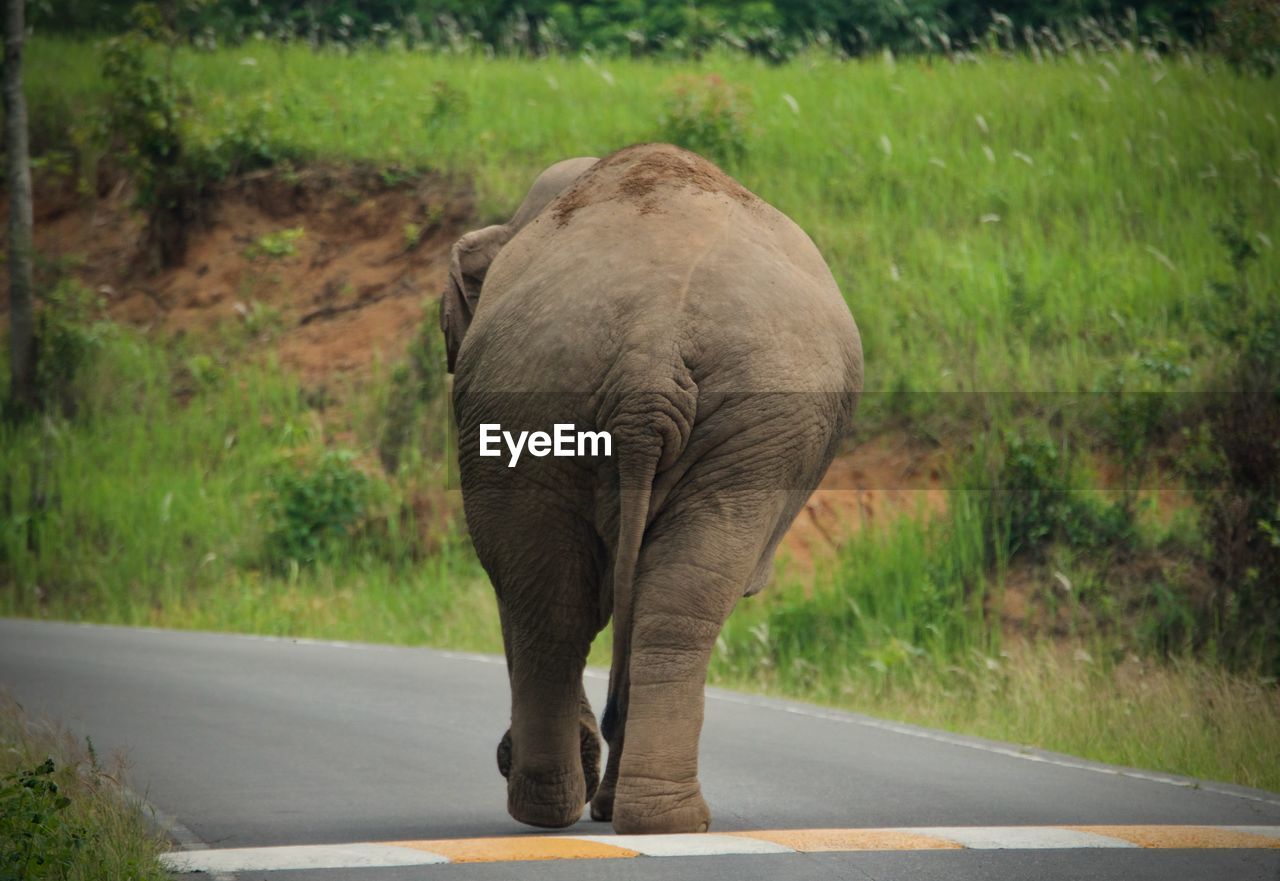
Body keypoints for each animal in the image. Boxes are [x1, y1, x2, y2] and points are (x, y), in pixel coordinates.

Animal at [440, 142, 860, 834]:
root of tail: (650, 349)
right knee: (626, 603)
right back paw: (630, 814)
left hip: (726, 419)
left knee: (584, 601)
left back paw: (592, 811)